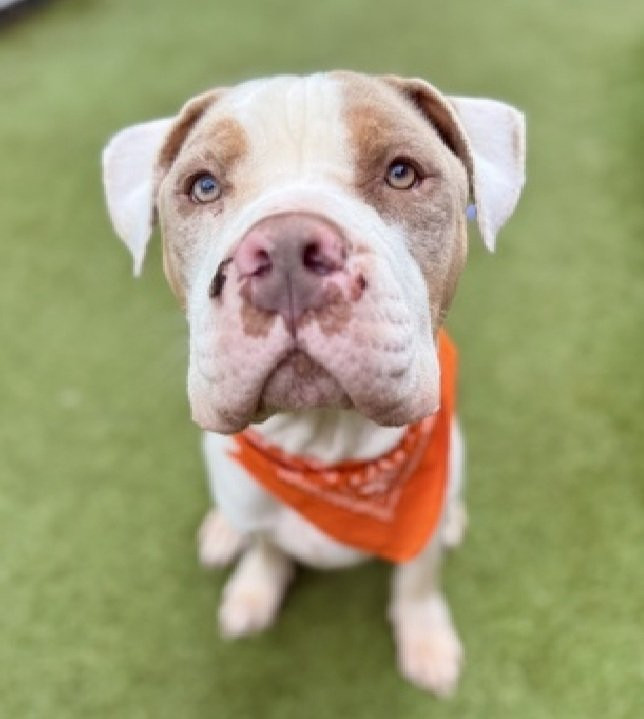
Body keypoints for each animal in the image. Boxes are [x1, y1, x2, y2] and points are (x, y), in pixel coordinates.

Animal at [102, 71, 525, 697]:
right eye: (202, 186)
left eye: (402, 173)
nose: (284, 250)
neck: (325, 447)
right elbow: (263, 545)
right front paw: (253, 591)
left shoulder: (417, 532)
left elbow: (416, 580)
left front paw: (425, 639)